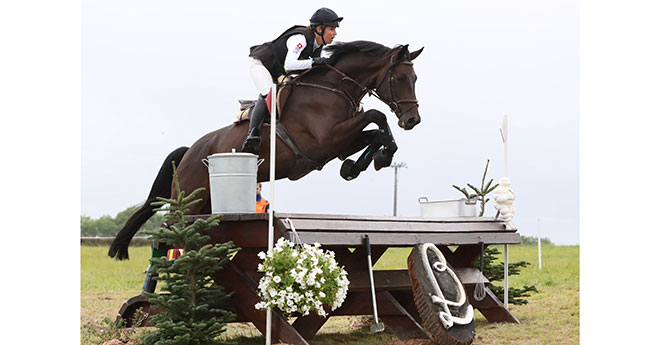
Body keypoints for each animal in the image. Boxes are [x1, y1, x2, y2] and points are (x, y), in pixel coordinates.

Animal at [109, 40, 422, 258]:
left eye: (415, 79)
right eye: (400, 79)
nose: (412, 120)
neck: (333, 88)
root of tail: (188, 153)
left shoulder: (342, 143)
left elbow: (375, 132)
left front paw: (366, 162)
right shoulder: (330, 139)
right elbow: (376, 116)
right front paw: (376, 157)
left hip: (206, 206)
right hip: (187, 200)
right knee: (168, 234)